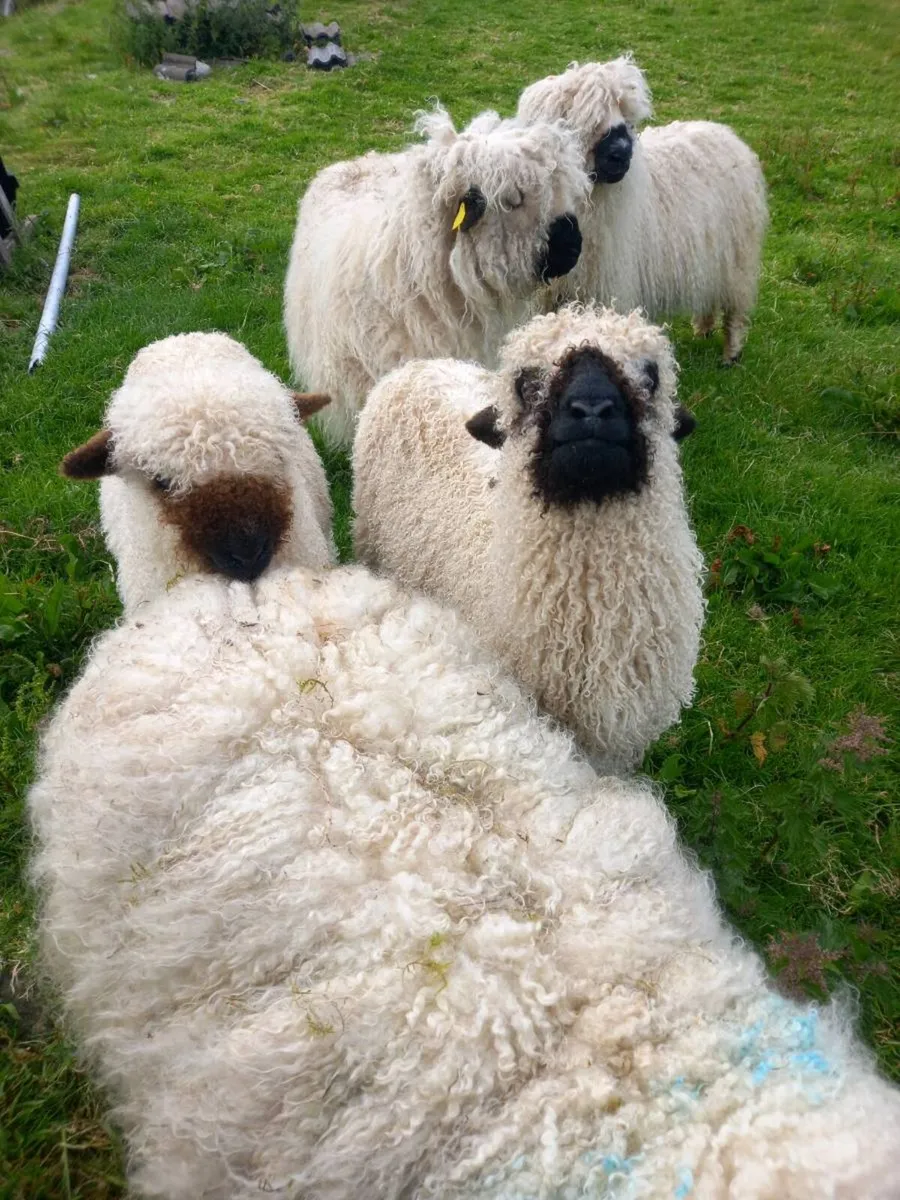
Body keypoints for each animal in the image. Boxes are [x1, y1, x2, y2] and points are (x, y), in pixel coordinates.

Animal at [517, 57, 769, 363]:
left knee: (735, 310)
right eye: (588, 119)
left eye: (629, 121)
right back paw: (703, 330)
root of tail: (726, 134)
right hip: (711, 256)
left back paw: (730, 354)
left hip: (737, 261)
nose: (623, 155)